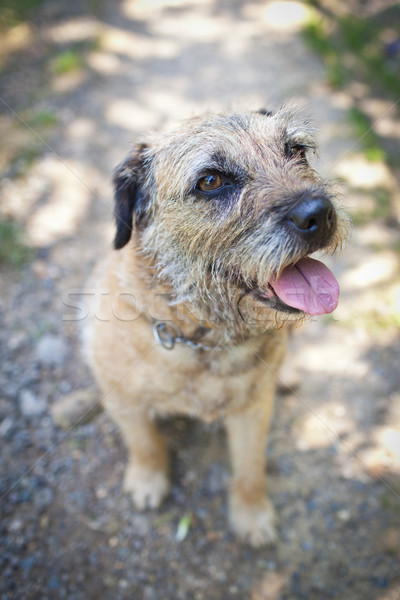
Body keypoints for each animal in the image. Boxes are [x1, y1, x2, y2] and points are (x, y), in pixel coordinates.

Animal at [86, 105, 348, 548]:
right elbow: (144, 443)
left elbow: (250, 468)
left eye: (296, 151)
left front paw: (252, 514)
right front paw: (147, 480)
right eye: (210, 181)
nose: (319, 212)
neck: (204, 336)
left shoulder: (253, 412)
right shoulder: (123, 401)